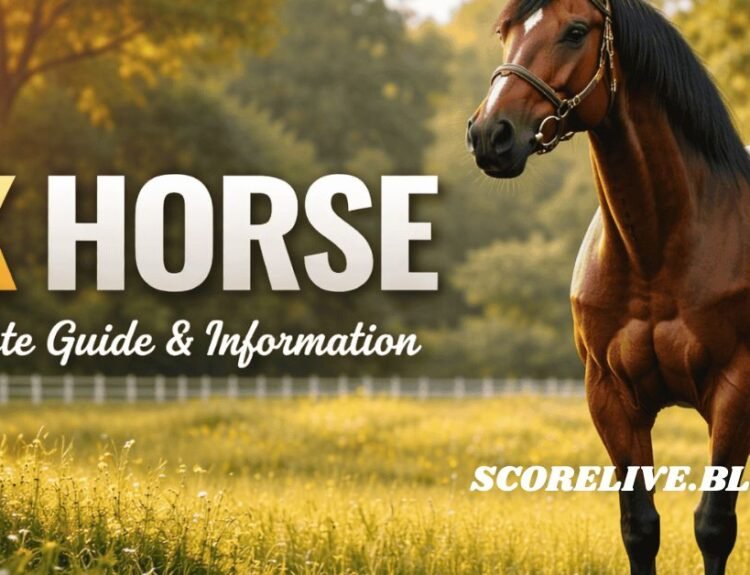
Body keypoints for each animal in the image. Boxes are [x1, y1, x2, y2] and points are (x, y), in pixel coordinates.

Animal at [466, 0, 750, 573]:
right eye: (506, 31)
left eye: (576, 31)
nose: (490, 134)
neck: (657, 251)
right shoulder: (611, 396)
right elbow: (639, 527)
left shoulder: (735, 390)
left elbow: (715, 526)